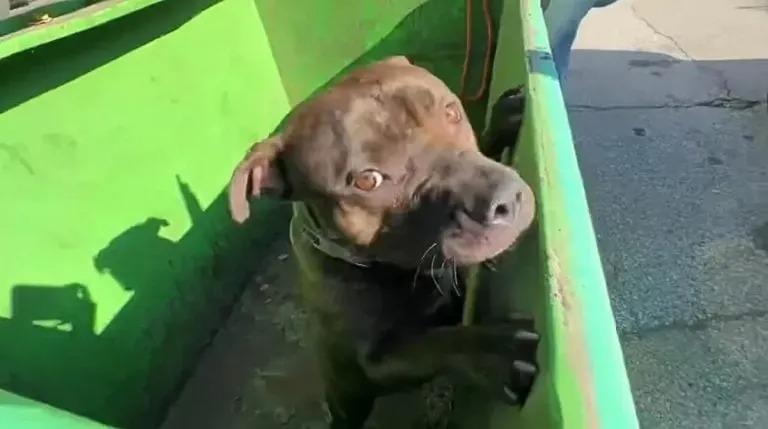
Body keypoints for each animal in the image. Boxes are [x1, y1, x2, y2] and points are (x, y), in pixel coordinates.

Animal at [228, 56, 536, 428]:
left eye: (451, 111)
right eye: (367, 180)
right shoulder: (375, 363)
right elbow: (434, 345)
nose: (503, 200)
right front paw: (493, 350)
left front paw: (504, 117)